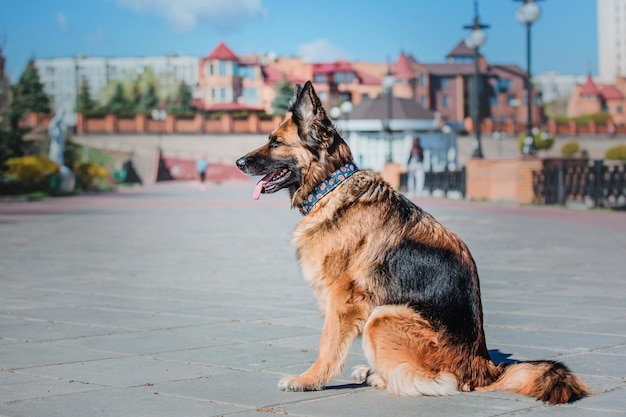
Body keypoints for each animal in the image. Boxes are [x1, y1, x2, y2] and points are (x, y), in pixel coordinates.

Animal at [236, 81, 588, 404]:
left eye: (275, 142)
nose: (239, 162)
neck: (331, 186)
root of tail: (485, 370)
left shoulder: (341, 299)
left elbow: (327, 345)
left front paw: (309, 380)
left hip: (383, 317)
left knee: (437, 382)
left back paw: (381, 377)